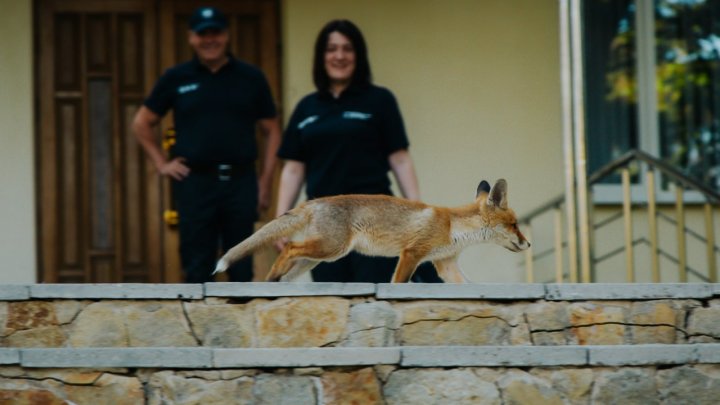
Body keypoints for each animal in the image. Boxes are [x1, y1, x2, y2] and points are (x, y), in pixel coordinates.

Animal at [214, 178, 528, 282]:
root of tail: (314, 202)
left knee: (291, 264)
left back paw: (274, 282)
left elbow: (469, 286)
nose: (528, 244)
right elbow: (398, 284)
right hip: (331, 249)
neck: (453, 227)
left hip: (317, 258)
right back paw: (273, 277)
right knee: (290, 247)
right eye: (514, 224)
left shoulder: (445, 264)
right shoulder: (411, 254)